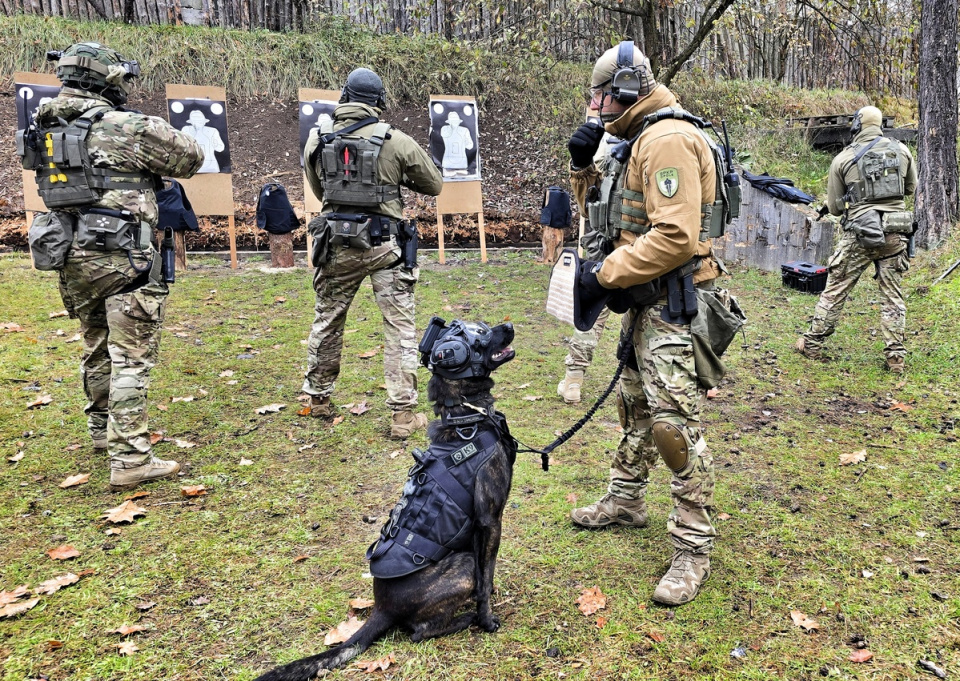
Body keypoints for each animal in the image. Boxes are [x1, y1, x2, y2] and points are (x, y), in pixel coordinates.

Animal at [251, 320, 512, 680]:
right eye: (481, 335)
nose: (509, 326)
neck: (465, 420)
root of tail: (381, 609)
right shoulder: (490, 521)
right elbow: (486, 578)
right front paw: (486, 618)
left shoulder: (479, 531)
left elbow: (489, 572)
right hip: (461, 565)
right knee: (419, 631)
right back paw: (466, 618)